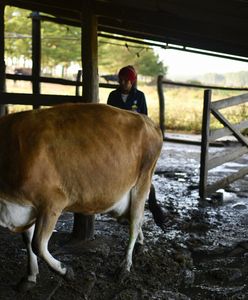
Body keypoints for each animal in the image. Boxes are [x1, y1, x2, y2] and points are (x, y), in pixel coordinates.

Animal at [0, 102, 163, 288]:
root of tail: (148, 120)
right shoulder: (25, 206)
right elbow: (27, 240)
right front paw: (31, 276)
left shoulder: (52, 202)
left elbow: (37, 244)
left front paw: (65, 271)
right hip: (119, 199)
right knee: (133, 220)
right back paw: (140, 246)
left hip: (142, 181)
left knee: (135, 223)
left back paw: (125, 267)